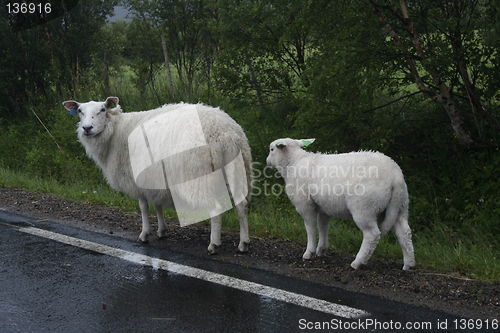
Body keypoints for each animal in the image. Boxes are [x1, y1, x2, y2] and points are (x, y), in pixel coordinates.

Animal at [62, 97, 252, 253]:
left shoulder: (137, 179)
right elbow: (157, 204)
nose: (87, 128)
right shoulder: (154, 178)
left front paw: (144, 234)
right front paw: (162, 231)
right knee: (241, 206)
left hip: (198, 178)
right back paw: (243, 244)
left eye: (102, 109)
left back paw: (213, 245)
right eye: (80, 111)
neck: (116, 133)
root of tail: (226, 133)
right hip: (239, 171)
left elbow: (144, 207)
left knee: (216, 209)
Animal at [268, 137, 416, 270]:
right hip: (400, 206)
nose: (267, 161)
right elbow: (323, 227)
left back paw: (358, 262)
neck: (293, 163)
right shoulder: (324, 207)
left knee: (372, 234)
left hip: (364, 207)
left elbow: (310, 228)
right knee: (404, 232)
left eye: (272, 149)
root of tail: (395, 176)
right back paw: (408, 264)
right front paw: (321, 250)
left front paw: (309, 252)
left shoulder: (305, 205)